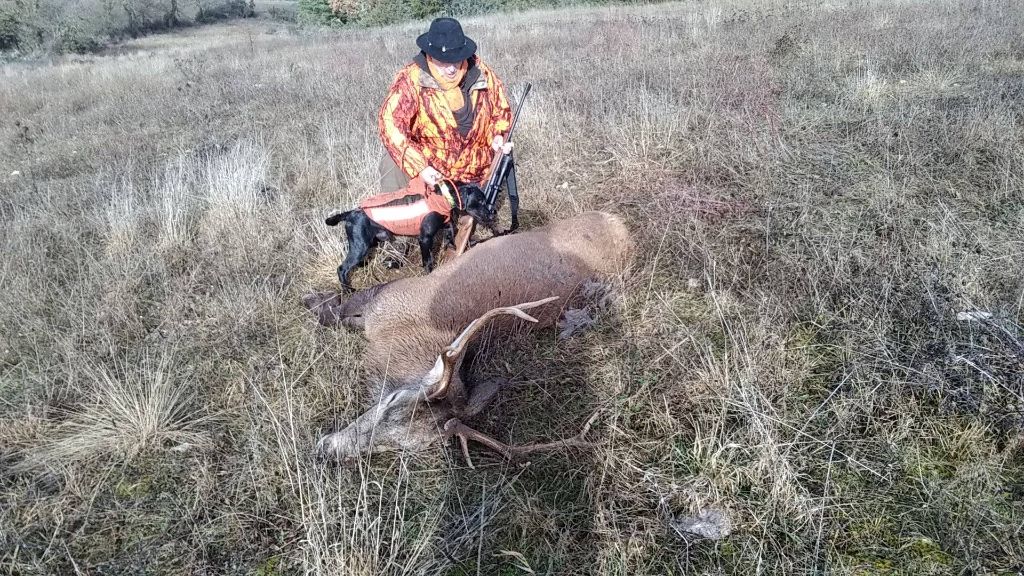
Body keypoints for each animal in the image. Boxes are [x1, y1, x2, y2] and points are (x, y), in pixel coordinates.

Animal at [305, 211, 630, 467]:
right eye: (393, 400)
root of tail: (623, 228)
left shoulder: (384, 301)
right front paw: (311, 300)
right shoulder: (386, 295)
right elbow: (340, 308)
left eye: (400, 446)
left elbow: (337, 311)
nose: (325, 448)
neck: (395, 340)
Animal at [323, 181, 491, 289]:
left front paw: (451, 241)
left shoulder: (442, 222)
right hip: (360, 245)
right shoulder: (424, 238)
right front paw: (430, 276)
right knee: (342, 268)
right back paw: (348, 290)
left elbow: (450, 226)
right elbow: (428, 261)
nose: (492, 214)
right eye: (480, 201)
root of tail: (350, 213)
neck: (442, 198)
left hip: (370, 242)